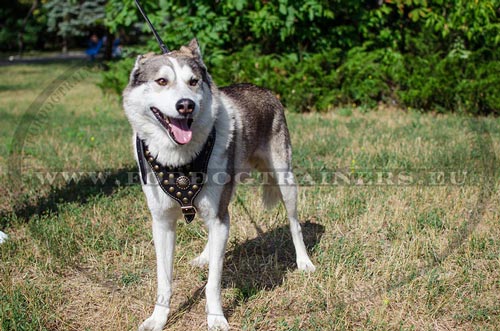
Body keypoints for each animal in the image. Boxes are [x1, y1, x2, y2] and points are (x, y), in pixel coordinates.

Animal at [122, 39, 314, 331]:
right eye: (162, 81)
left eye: (193, 81)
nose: (186, 105)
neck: (179, 160)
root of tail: (263, 88)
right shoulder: (162, 222)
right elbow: (164, 280)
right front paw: (158, 318)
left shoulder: (218, 216)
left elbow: (213, 283)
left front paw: (215, 318)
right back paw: (205, 256)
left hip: (285, 181)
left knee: (294, 224)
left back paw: (303, 261)